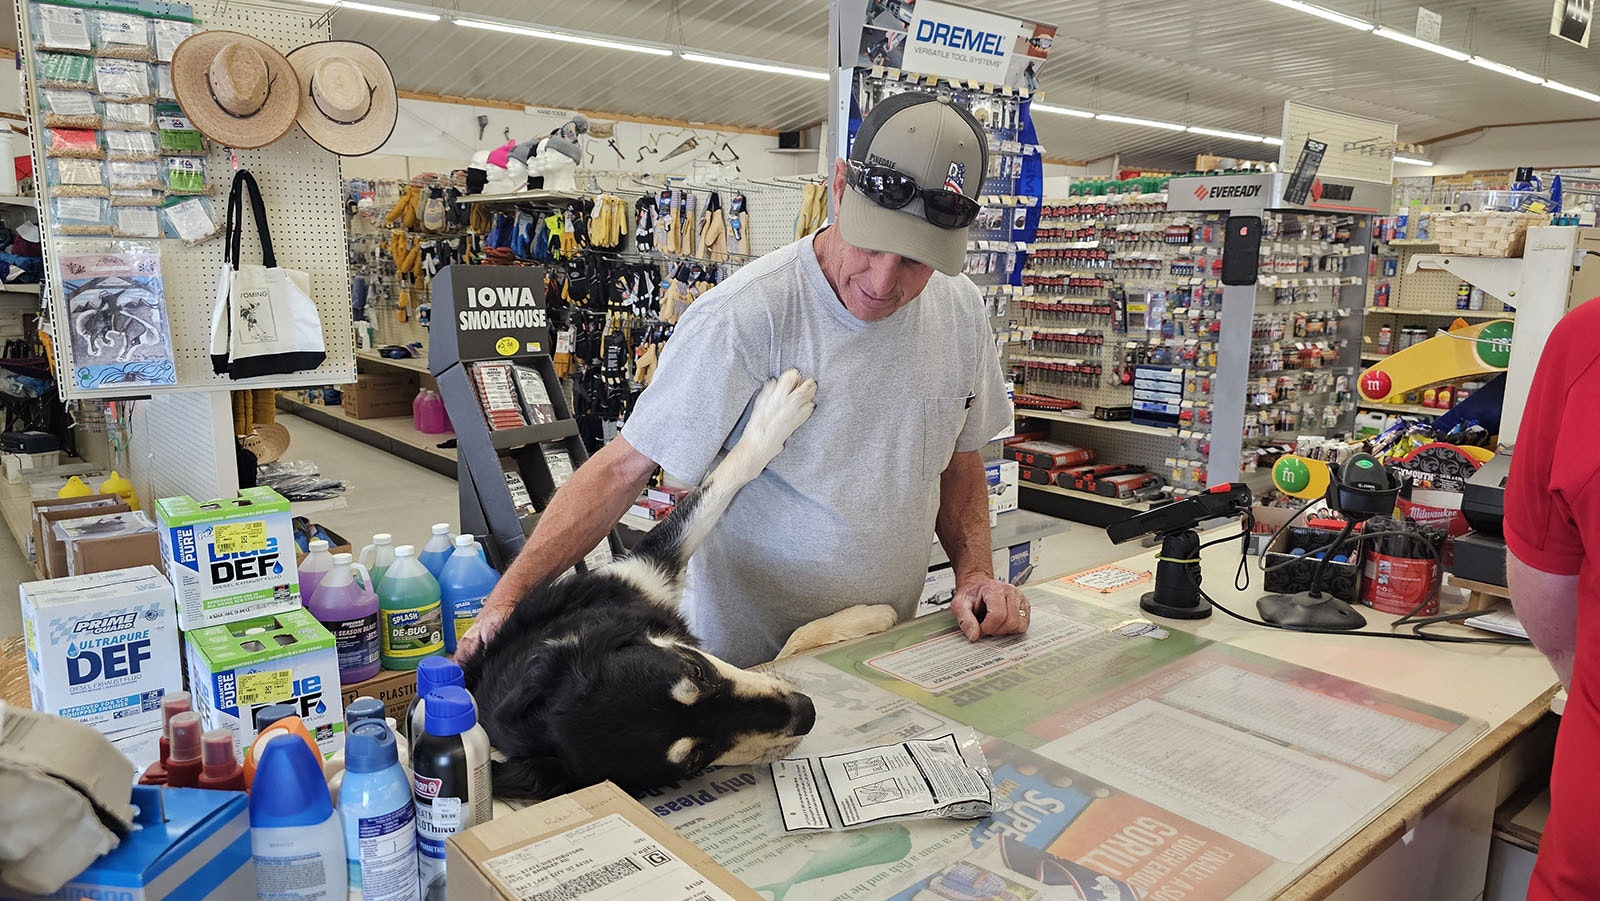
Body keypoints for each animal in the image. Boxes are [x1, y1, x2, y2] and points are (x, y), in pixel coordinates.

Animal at [460, 374, 902, 803]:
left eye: (697, 672)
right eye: (697, 758)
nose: (806, 711)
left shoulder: (643, 571)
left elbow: (718, 484)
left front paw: (775, 414)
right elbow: (788, 647)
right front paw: (869, 617)